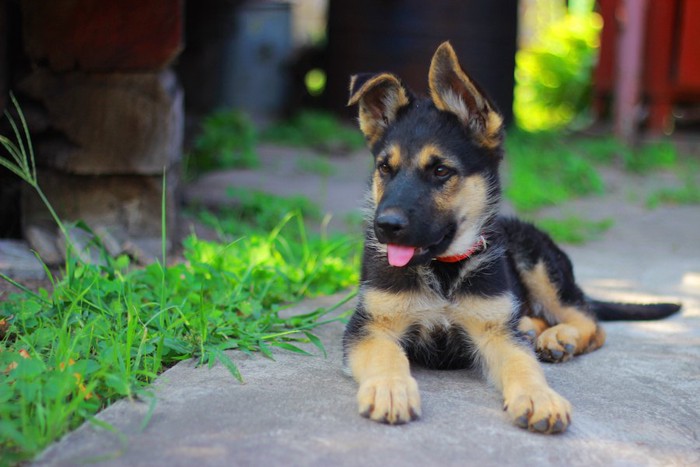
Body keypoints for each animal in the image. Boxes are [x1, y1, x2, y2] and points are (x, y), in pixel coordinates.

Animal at [342, 43, 680, 436]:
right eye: (385, 168)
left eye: (441, 171)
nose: (385, 225)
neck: (443, 271)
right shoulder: (371, 326)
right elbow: (387, 355)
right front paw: (390, 389)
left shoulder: (496, 333)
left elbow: (523, 364)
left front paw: (538, 398)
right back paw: (536, 330)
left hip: (538, 264)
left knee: (590, 321)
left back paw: (559, 337)